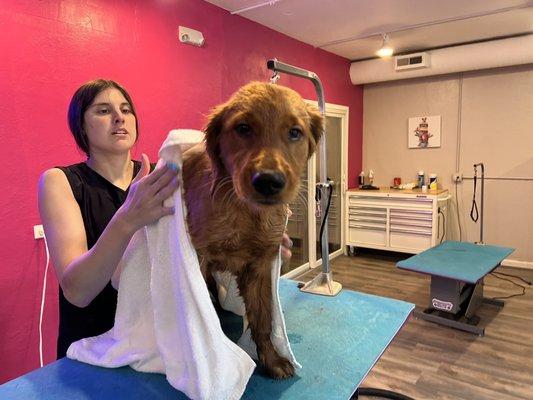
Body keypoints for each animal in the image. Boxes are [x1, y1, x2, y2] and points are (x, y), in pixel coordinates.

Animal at [183, 81, 322, 378]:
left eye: (295, 132)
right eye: (243, 128)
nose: (268, 181)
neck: (248, 212)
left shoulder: (260, 265)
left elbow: (263, 319)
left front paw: (271, 359)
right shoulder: (199, 256)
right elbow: (201, 313)